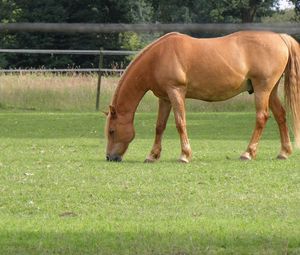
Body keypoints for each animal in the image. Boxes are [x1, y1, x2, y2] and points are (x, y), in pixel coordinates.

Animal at [105, 30, 298, 162]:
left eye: (112, 131)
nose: (109, 157)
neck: (157, 58)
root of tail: (280, 37)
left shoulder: (176, 92)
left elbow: (180, 123)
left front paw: (184, 155)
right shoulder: (165, 98)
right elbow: (160, 126)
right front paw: (152, 155)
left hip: (262, 89)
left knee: (261, 117)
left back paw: (248, 153)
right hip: (270, 91)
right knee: (280, 115)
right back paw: (284, 152)